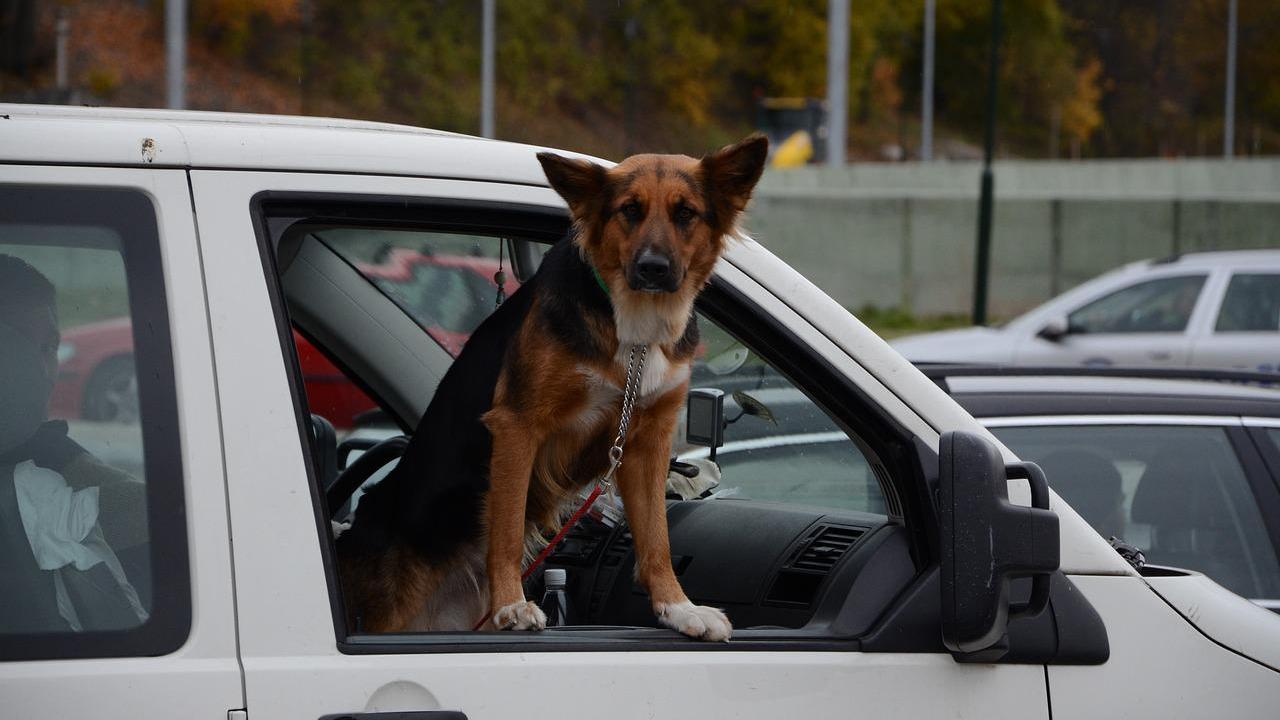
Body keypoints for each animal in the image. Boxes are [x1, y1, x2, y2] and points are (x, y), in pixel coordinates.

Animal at [335, 133, 762, 638]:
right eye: (629, 210)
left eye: (685, 213)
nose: (653, 268)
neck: (634, 328)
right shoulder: (518, 425)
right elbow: (505, 528)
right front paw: (511, 604)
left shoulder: (646, 442)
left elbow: (657, 538)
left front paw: (678, 608)